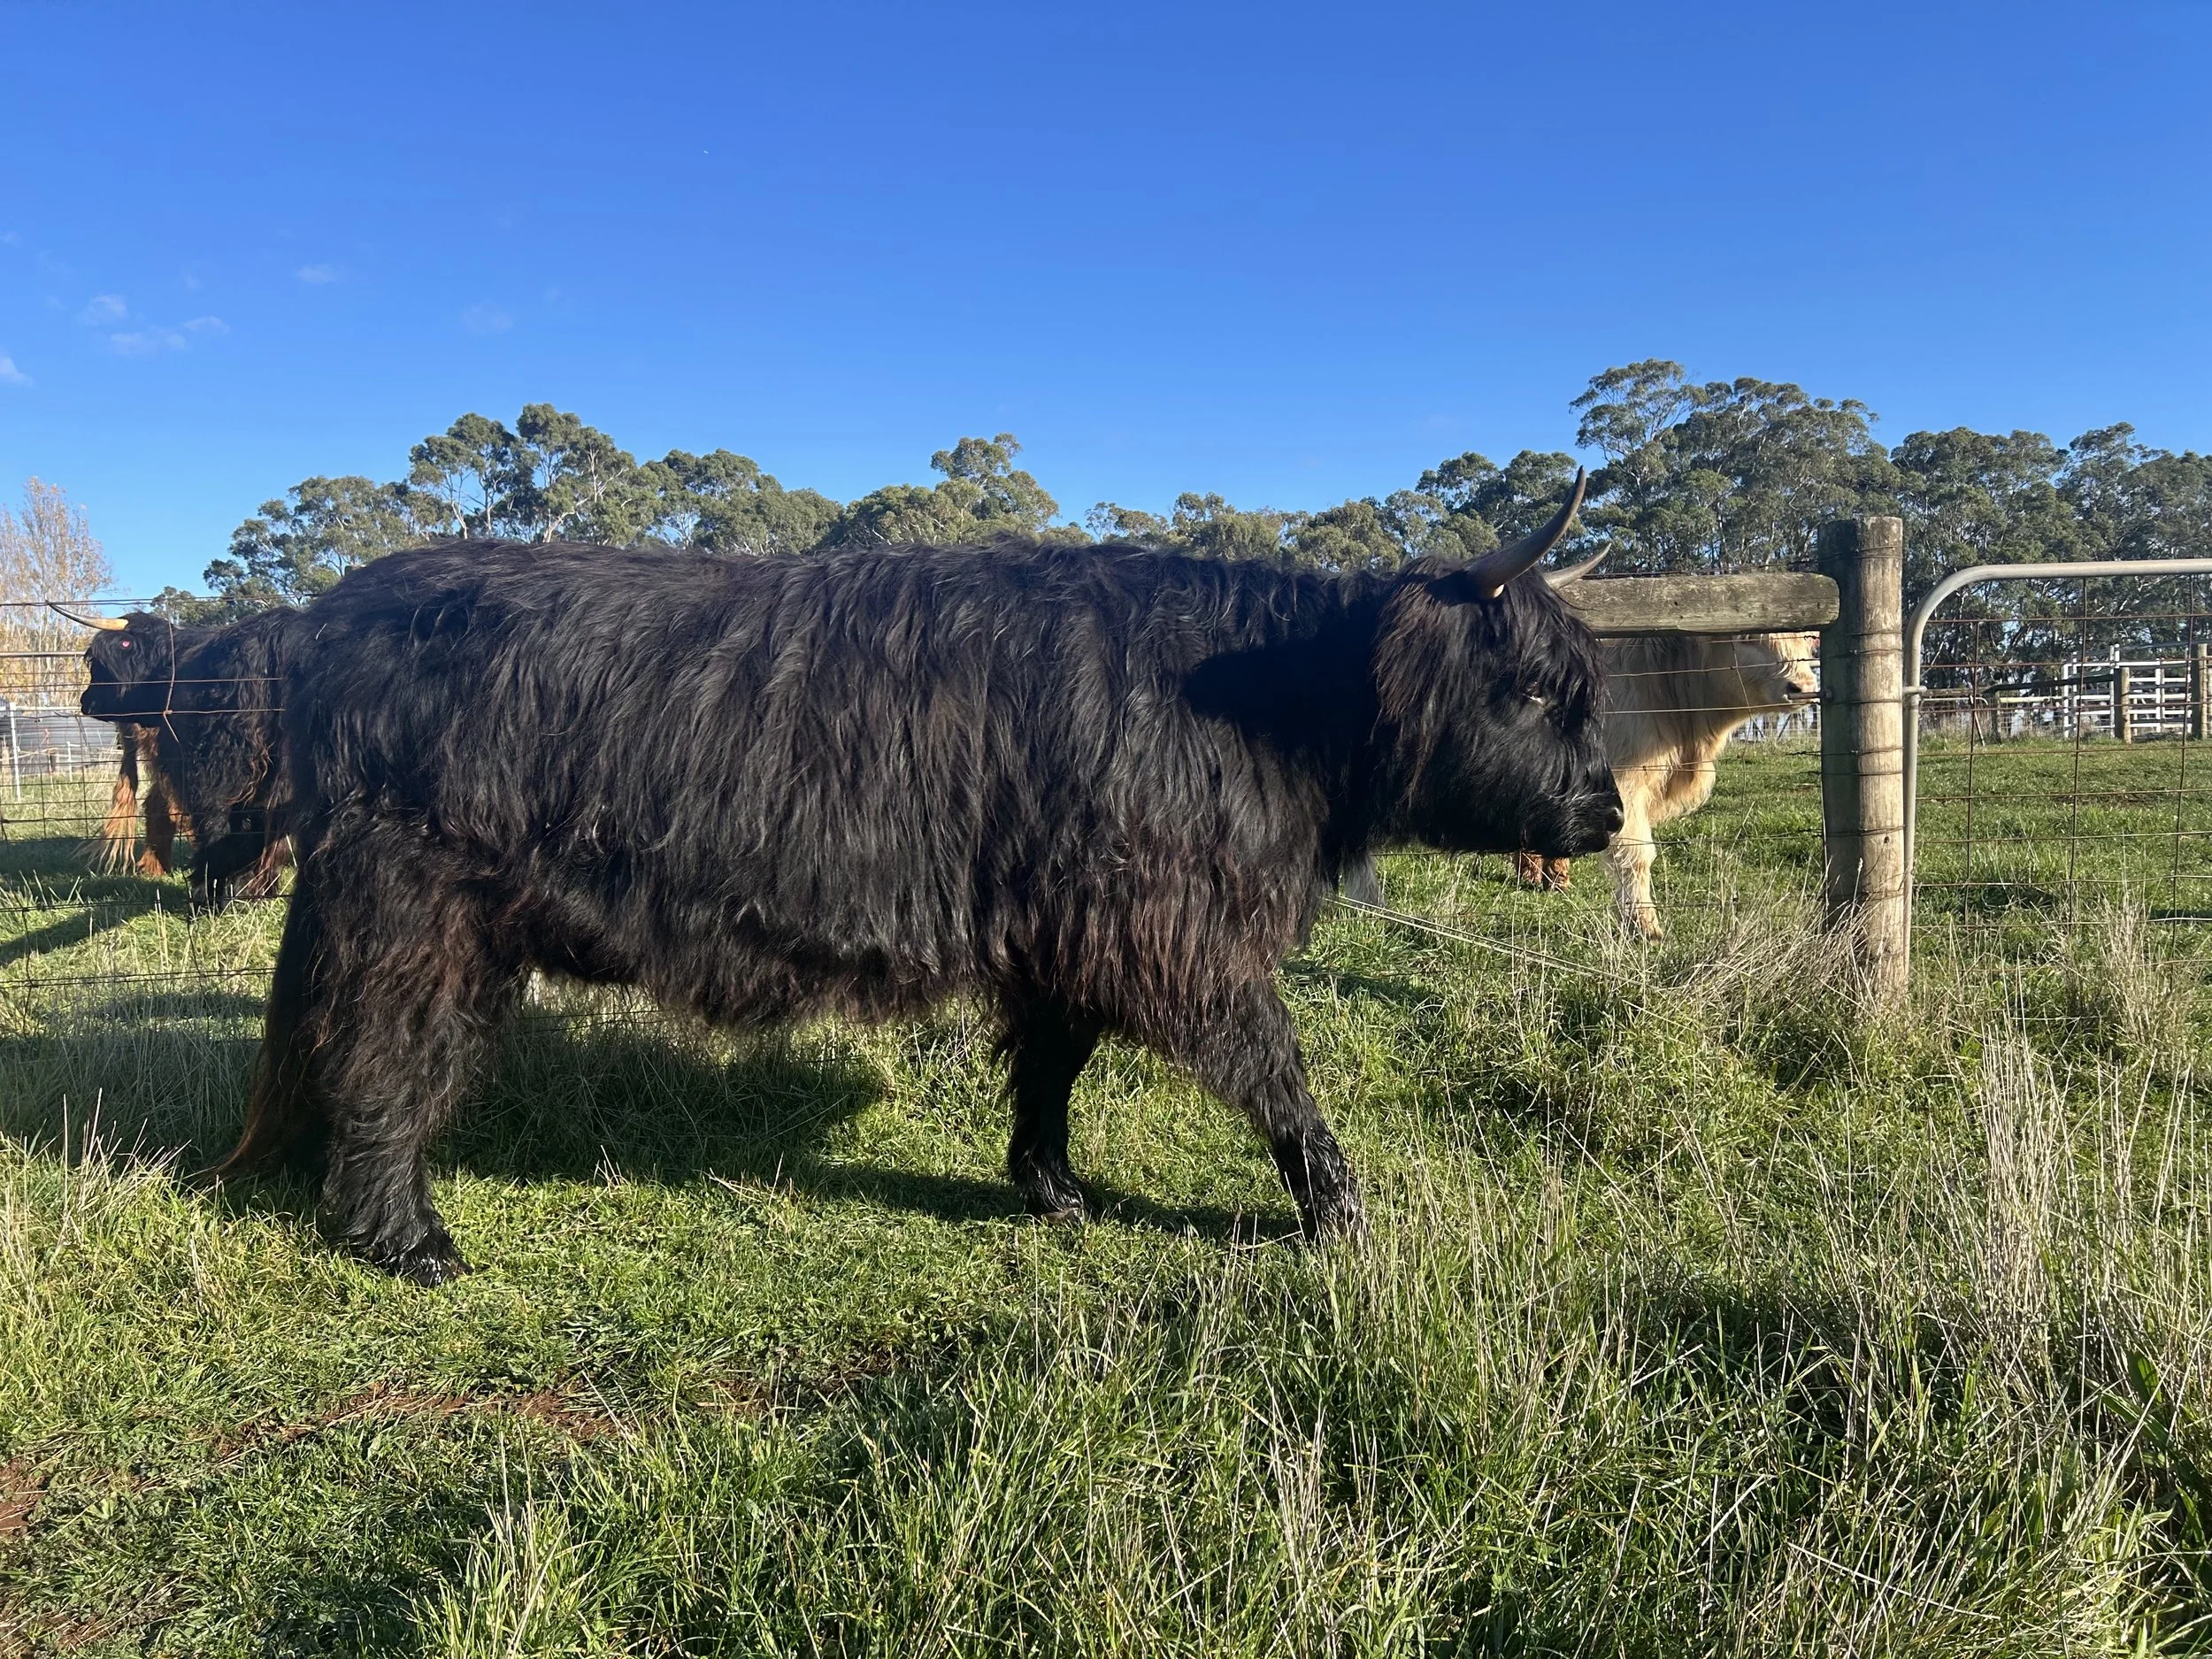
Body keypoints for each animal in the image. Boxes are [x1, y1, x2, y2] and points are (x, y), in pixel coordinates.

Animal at [219, 477, 1622, 1284]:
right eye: (1534, 691)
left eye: (1583, 691)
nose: (1604, 811)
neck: (1265, 703)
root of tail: (329, 613)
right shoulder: (1167, 922)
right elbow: (1272, 1059)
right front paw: (1338, 1205)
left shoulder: (1068, 922)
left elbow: (1054, 1062)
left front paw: (1054, 1187)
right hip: (414, 903)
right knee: (385, 1052)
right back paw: (406, 1237)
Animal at [1514, 631, 1819, 937]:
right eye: (1748, 636)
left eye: (1806, 637)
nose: (1803, 687)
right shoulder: (1623, 784)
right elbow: (1637, 853)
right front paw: (1644, 925)